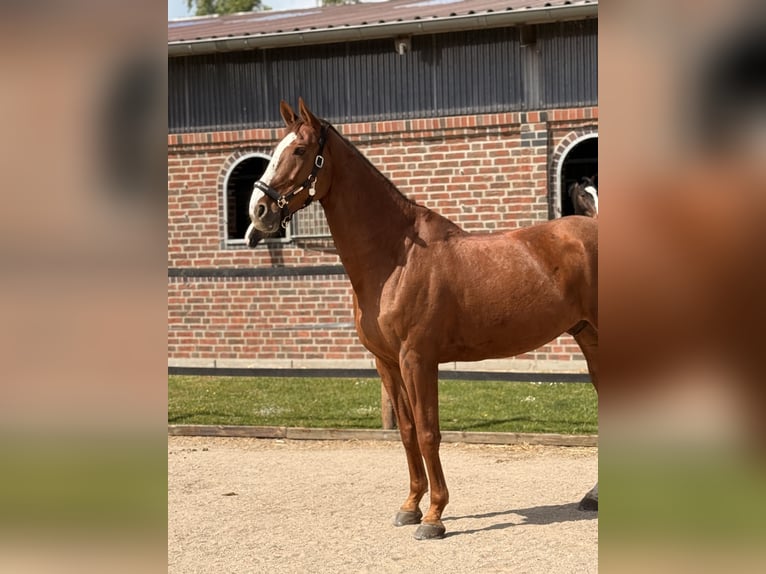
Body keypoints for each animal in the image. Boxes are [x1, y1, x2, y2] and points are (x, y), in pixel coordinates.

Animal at [245, 98, 599, 539]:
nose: (258, 212)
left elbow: (429, 432)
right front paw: (411, 506)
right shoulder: (387, 362)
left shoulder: (418, 359)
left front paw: (434, 516)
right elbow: (408, 431)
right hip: (588, 335)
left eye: (299, 150)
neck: (396, 256)